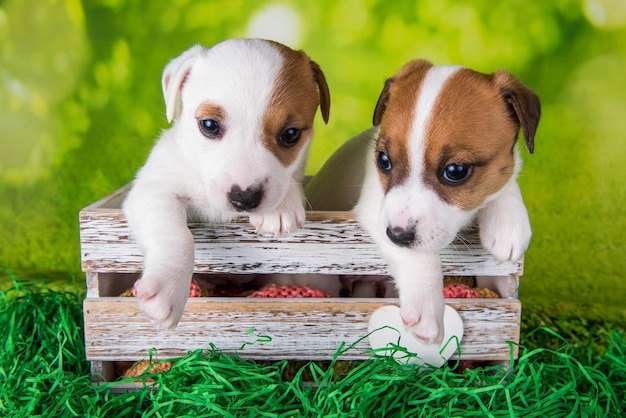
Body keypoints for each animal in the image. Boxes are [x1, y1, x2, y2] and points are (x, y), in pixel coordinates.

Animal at [123, 38, 332, 326]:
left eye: (290, 134)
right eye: (209, 125)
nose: (244, 198)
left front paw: (281, 208)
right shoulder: (153, 191)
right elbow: (177, 236)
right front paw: (167, 290)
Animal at [304, 60, 540, 344]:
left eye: (456, 171)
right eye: (383, 160)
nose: (396, 235)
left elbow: (506, 179)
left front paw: (508, 225)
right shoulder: (376, 209)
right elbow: (423, 258)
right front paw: (426, 309)